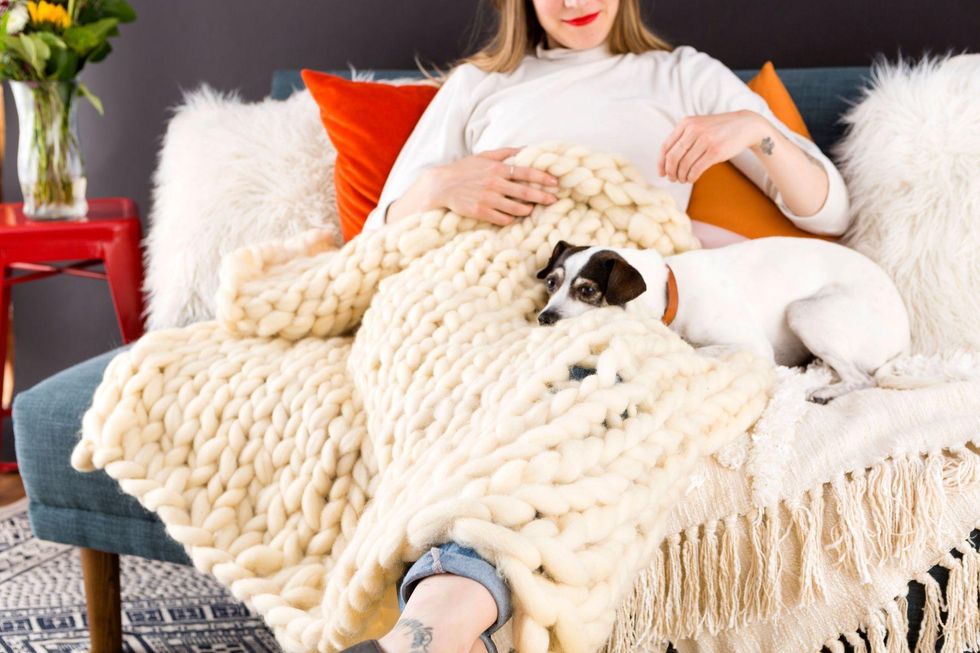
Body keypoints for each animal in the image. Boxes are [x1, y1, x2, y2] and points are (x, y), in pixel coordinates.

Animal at [536, 236, 912, 402]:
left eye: (586, 291)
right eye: (551, 283)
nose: (544, 318)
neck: (673, 290)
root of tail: (904, 339)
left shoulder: (751, 345)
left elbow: (696, 349)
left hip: (804, 312)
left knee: (863, 378)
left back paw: (825, 390)